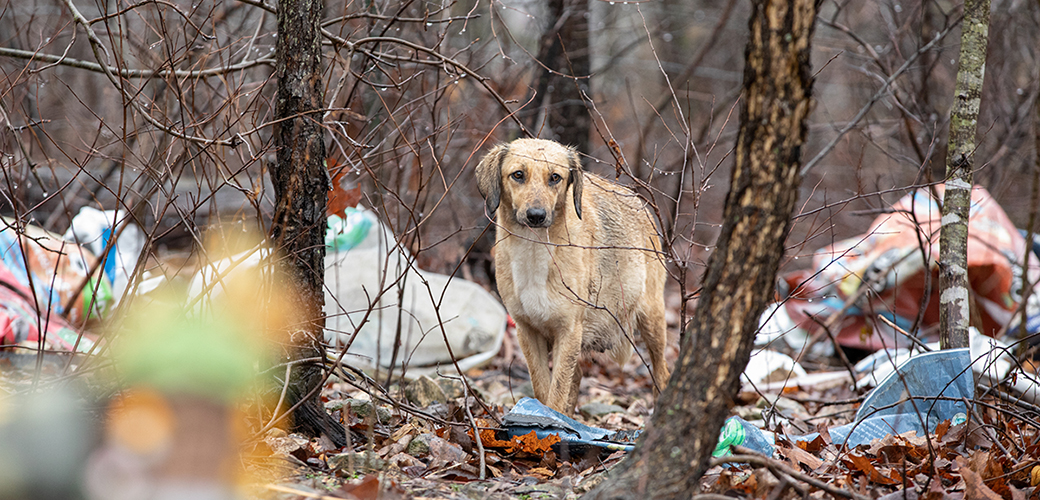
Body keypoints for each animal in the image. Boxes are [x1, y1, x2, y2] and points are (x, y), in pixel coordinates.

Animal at [476, 137, 669, 413]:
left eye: (555, 177)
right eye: (518, 175)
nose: (536, 216)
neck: (535, 250)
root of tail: (638, 200)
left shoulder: (568, 331)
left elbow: (557, 394)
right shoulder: (527, 332)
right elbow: (543, 388)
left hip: (652, 320)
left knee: (661, 373)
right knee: (574, 378)